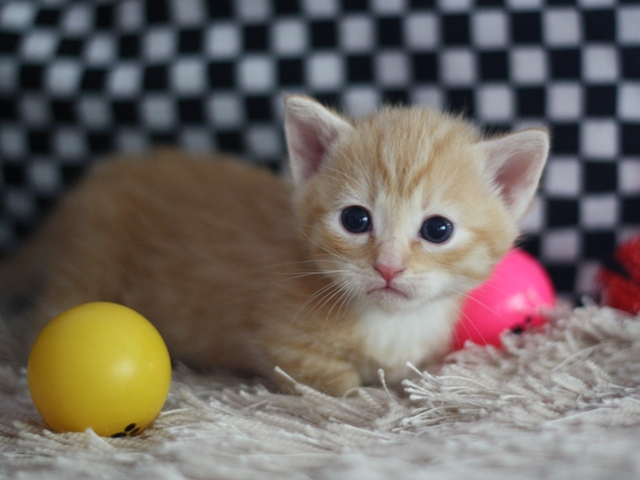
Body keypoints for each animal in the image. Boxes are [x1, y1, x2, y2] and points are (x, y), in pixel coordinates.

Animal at [1, 96, 552, 394]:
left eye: (437, 230)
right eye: (356, 220)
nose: (388, 267)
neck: (392, 323)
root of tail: (83, 192)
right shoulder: (284, 341)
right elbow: (331, 381)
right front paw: (367, 398)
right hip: (85, 268)